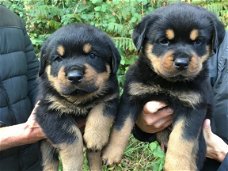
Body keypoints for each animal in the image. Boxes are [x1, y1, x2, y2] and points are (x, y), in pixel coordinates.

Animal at [34, 23, 120, 171]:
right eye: (58, 58)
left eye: (92, 55)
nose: (74, 76)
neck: (79, 99)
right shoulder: (47, 110)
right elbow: (71, 138)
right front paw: (73, 165)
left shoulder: (111, 97)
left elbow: (101, 111)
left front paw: (95, 137)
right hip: (46, 146)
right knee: (49, 162)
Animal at [103, 3, 224, 170]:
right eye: (164, 41)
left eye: (197, 41)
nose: (181, 62)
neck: (168, 83)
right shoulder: (131, 97)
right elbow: (120, 127)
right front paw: (111, 154)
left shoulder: (193, 107)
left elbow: (181, 141)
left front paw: (177, 167)